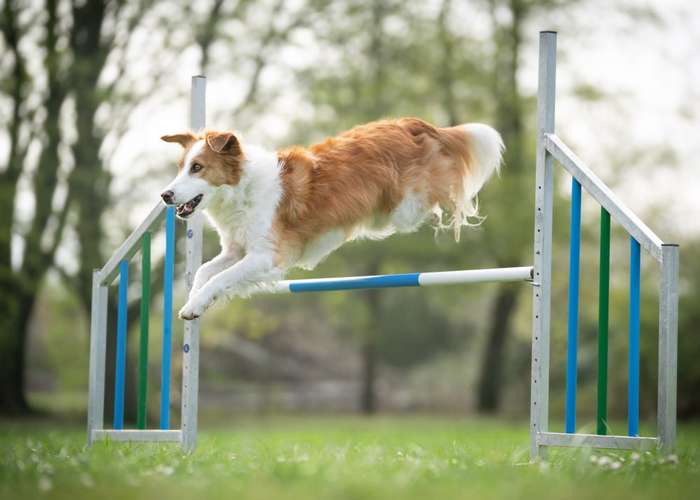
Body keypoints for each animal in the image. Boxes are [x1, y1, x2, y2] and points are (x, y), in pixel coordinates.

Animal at [160, 118, 504, 318]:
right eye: (180, 167)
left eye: (197, 168)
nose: (165, 195)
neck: (240, 189)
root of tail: (413, 123)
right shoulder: (236, 249)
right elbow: (204, 272)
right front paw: (193, 302)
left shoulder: (266, 256)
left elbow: (219, 278)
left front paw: (195, 305)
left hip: (407, 206)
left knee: (446, 191)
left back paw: (453, 213)